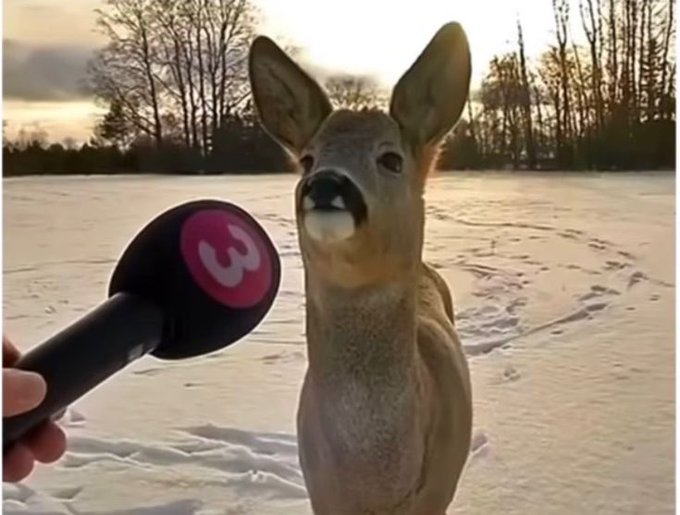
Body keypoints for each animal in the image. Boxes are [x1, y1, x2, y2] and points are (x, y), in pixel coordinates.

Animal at [248, 21, 473, 515]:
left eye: (391, 159)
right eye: (307, 159)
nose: (325, 184)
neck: (373, 487)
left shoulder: (439, 492)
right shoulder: (321, 493)